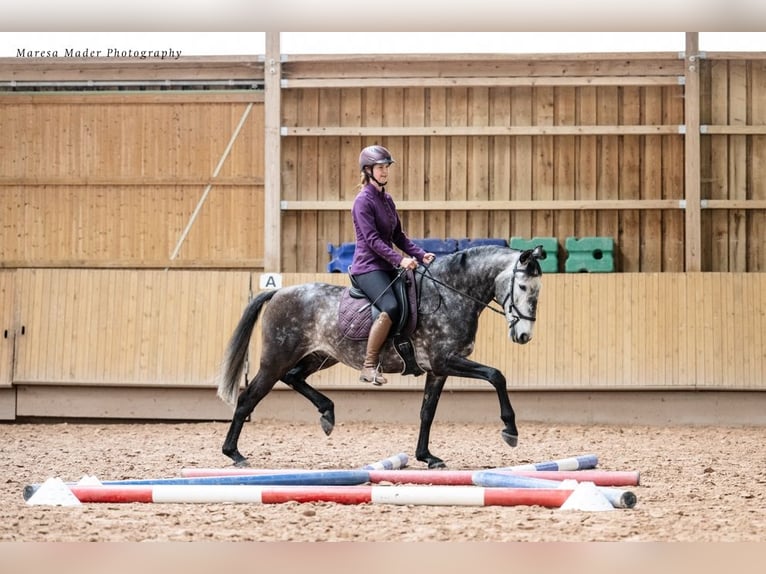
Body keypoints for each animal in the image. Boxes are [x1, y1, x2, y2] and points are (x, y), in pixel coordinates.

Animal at [219, 245, 548, 470]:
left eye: (538, 291)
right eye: (521, 287)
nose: (524, 336)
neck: (451, 295)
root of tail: (278, 292)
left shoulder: (438, 370)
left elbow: (427, 412)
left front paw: (426, 457)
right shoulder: (445, 361)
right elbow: (496, 375)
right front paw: (510, 430)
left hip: (320, 356)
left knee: (294, 377)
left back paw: (327, 414)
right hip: (276, 358)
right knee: (248, 398)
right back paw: (234, 454)